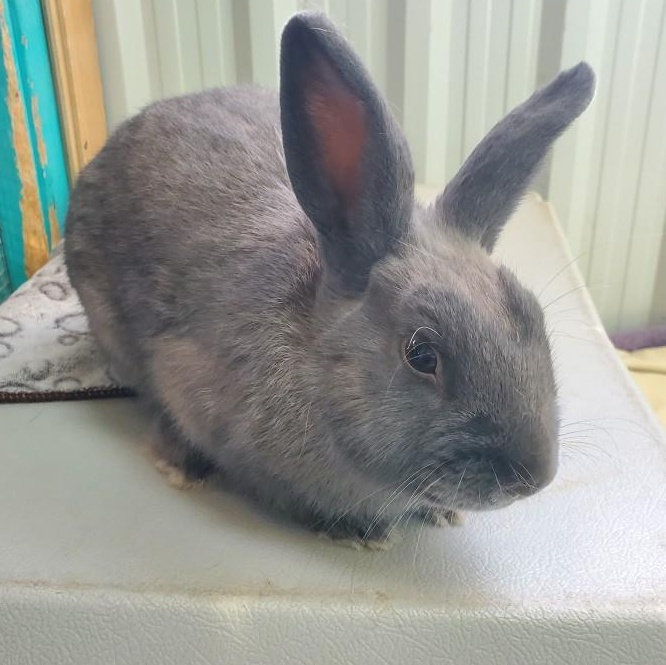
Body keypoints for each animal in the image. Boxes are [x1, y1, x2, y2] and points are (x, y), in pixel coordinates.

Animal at [65, 11, 595, 546]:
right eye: (422, 355)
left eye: (535, 318)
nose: (532, 478)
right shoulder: (181, 374)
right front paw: (360, 533)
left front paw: (442, 514)